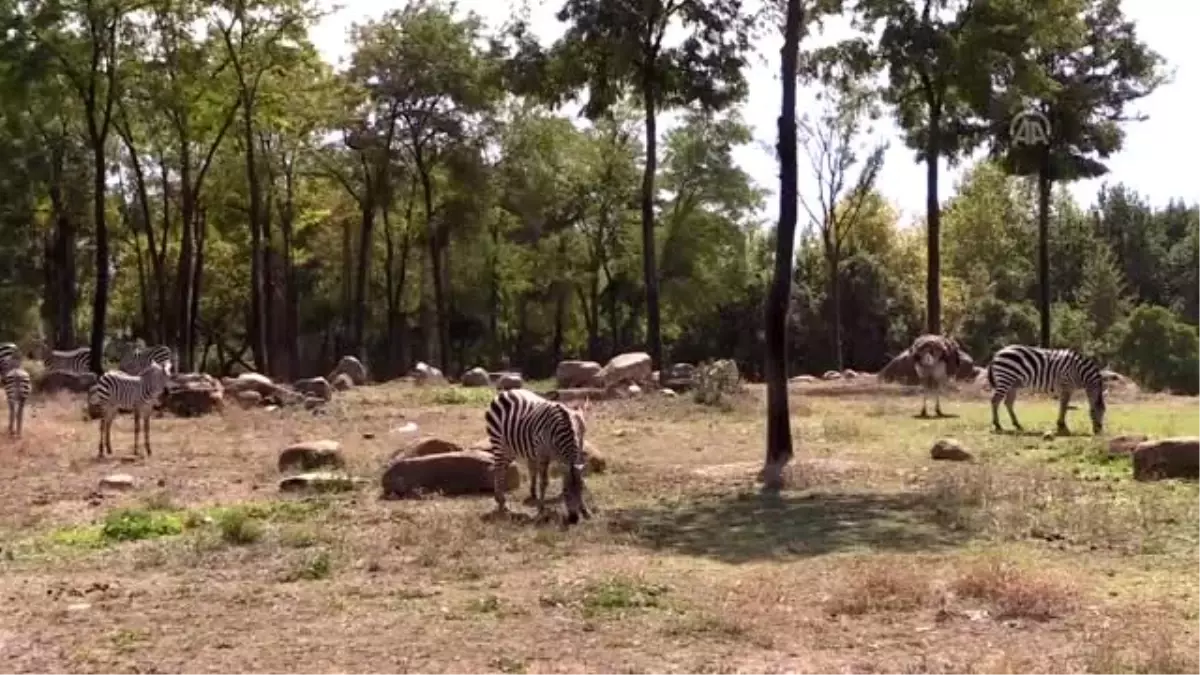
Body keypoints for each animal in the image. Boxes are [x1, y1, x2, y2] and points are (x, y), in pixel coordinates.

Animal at [480, 386, 588, 523]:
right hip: (499, 443)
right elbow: (544, 482)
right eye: (565, 492)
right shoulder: (543, 454)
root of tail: (506, 392)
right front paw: (541, 509)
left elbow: (579, 478)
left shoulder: (571, 452)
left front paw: (585, 510)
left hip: (511, 447)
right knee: (499, 470)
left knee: (503, 469)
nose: (574, 519)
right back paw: (501, 503)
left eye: (581, 490)